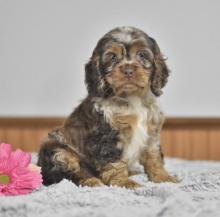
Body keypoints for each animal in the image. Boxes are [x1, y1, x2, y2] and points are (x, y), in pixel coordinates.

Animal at [37, 26, 179, 187]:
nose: (128, 70)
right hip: (59, 151)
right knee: (71, 174)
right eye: (112, 57)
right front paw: (124, 182)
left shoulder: (151, 132)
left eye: (142, 54)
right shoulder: (106, 136)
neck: (131, 98)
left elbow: (154, 156)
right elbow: (113, 162)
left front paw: (163, 177)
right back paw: (92, 181)